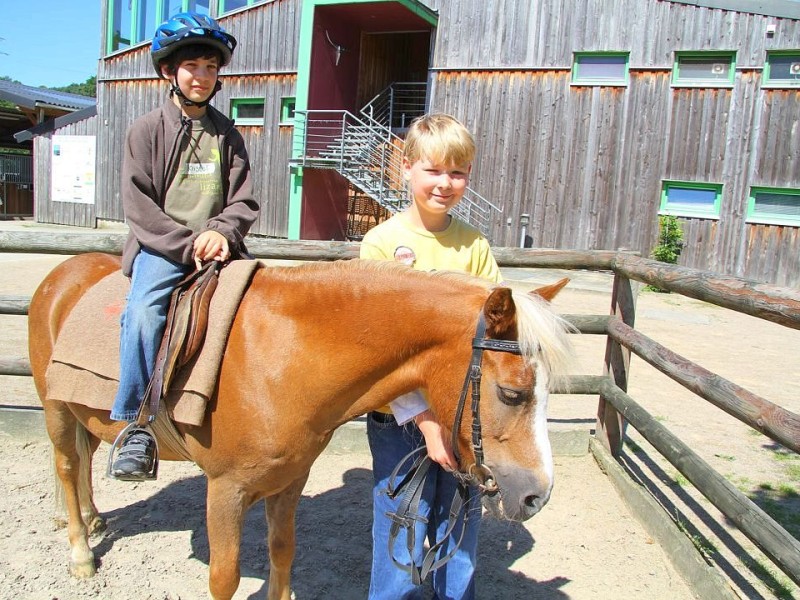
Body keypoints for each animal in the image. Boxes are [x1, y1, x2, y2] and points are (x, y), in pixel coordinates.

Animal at [28, 252, 572, 600]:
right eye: (512, 393)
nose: (538, 496)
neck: (284, 353)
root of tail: (63, 272)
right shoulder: (225, 490)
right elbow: (224, 578)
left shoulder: (289, 480)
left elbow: (283, 552)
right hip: (55, 409)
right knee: (67, 464)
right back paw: (80, 551)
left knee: (84, 461)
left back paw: (94, 517)